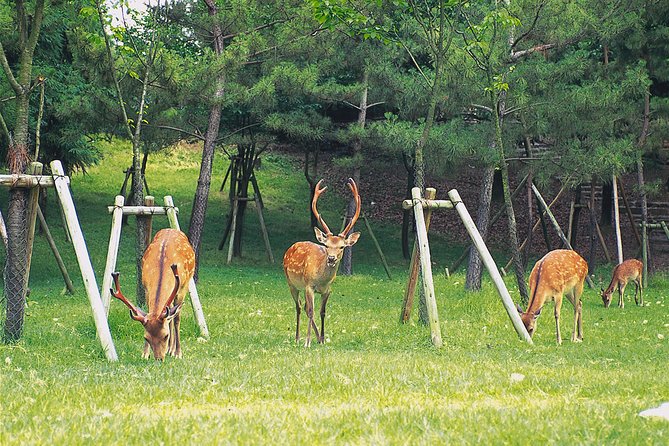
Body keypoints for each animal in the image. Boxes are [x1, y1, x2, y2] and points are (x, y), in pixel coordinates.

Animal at [111, 228, 195, 360]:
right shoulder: (146, 289)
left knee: (173, 316)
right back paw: (169, 349)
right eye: (146, 337)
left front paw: (178, 353)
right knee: (170, 313)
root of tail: (171, 229)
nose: (159, 359)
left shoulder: (182, 288)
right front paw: (145, 354)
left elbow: (177, 319)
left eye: (165, 336)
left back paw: (172, 350)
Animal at [283, 178, 361, 347]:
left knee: (305, 306)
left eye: (342, 246)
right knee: (300, 307)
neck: (321, 280)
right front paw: (307, 342)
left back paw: (317, 337)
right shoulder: (309, 286)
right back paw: (298, 338)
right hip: (291, 283)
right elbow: (311, 311)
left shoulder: (327, 290)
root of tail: (291, 247)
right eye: (326, 245)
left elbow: (322, 312)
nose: (331, 258)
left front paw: (323, 339)